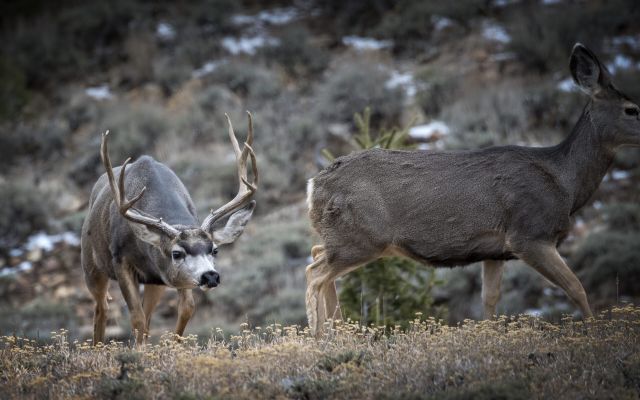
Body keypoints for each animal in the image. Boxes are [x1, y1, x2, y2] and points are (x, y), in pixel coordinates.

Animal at [81, 112, 258, 345]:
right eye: (176, 253)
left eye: (215, 250)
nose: (210, 276)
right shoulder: (119, 260)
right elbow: (136, 317)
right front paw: (139, 351)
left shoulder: (169, 278)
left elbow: (187, 308)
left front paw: (173, 347)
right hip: (91, 265)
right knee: (102, 308)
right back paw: (97, 346)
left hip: (154, 282)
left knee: (144, 317)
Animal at [305, 43, 640, 337]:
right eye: (632, 109)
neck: (565, 183)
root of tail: (314, 185)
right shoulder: (530, 234)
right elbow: (576, 287)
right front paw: (596, 333)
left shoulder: (496, 251)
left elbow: (489, 300)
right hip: (363, 236)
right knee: (314, 273)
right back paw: (319, 337)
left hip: (345, 236)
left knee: (318, 255)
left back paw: (338, 334)